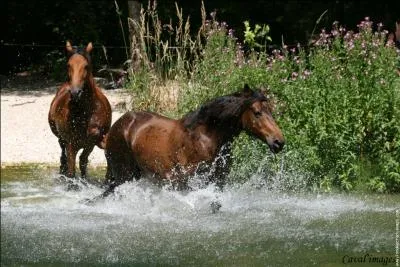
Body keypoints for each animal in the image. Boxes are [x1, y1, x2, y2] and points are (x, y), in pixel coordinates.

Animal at [50, 42, 112, 179]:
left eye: (86, 66)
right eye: (68, 65)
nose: (75, 92)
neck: (85, 111)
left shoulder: (91, 142)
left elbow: (83, 161)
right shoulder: (71, 143)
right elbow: (71, 171)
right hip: (62, 139)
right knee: (64, 158)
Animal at [97, 85, 284, 200]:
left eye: (271, 111)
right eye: (257, 112)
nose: (279, 142)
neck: (206, 137)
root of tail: (118, 124)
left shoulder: (218, 182)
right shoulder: (186, 183)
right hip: (124, 175)